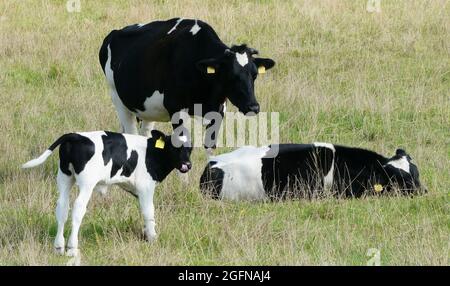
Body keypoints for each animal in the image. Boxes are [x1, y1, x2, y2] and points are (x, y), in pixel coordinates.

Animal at [22, 130, 192, 256]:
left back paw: (59, 247)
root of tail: (75, 135)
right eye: (174, 147)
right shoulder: (146, 186)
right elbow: (148, 212)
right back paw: (72, 248)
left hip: (64, 177)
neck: (151, 153)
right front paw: (152, 238)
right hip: (87, 183)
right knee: (78, 208)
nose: (187, 165)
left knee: (62, 207)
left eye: (189, 148)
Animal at [99, 17, 274, 149]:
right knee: (130, 133)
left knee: (145, 134)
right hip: (118, 100)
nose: (253, 107)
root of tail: (115, 33)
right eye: (231, 76)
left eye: (255, 75)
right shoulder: (177, 110)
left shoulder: (219, 111)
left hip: (147, 109)